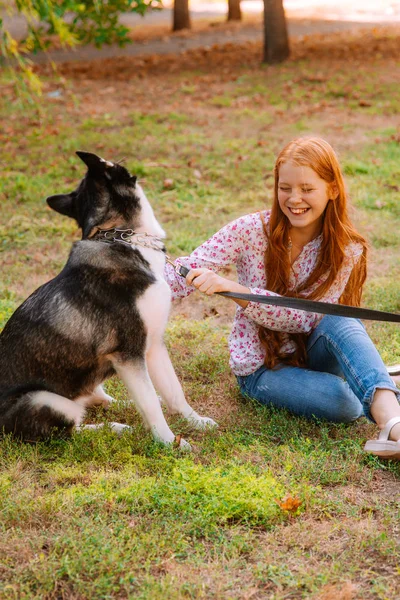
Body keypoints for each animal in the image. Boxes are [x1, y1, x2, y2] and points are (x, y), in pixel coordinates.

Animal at [0, 152, 217, 448]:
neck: (119, 237)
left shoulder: (152, 346)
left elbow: (174, 392)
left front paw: (195, 422)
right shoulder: (129, 354)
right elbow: (150, 405)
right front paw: (169, 443)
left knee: (100, 400)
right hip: (45, 400)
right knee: (72, 429)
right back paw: (114, 428)